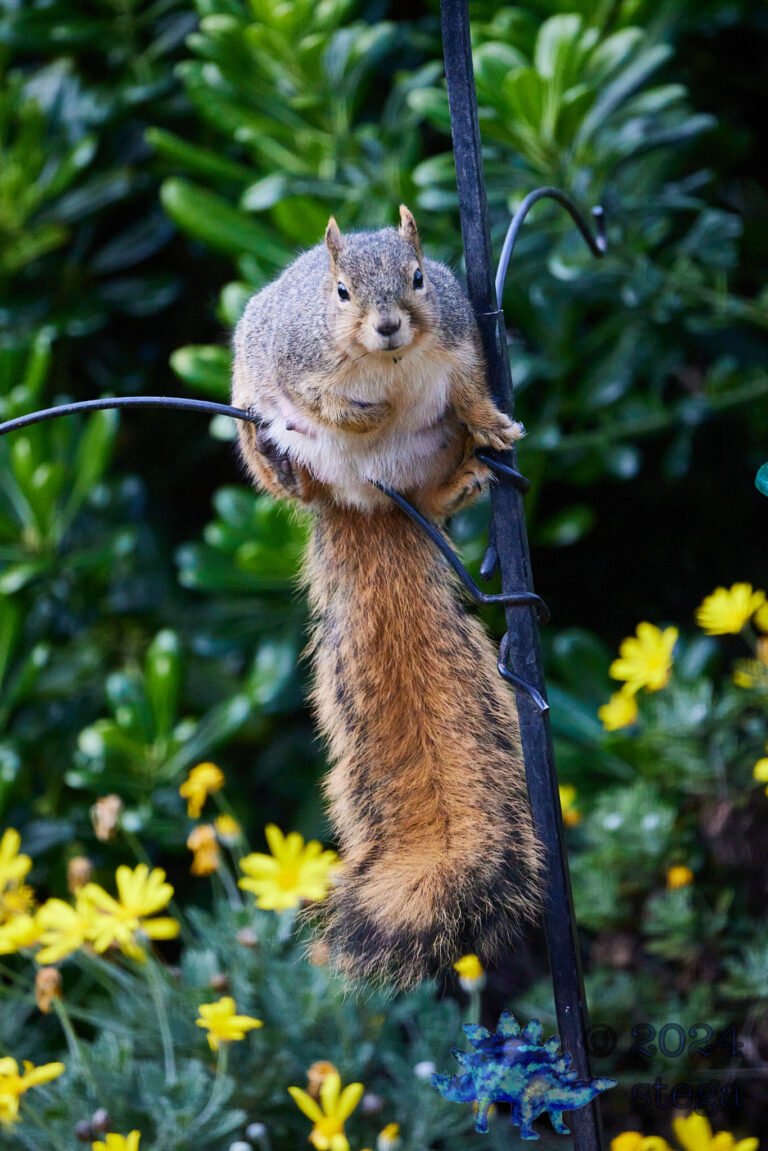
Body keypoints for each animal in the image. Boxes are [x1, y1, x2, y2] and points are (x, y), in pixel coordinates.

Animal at [232, 205, 543, 989]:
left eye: (421, 277)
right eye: (340, 292)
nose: (390, 325)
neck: (391, 370)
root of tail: (368, 502)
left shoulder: (460, 349)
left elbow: (468, 390)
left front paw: (493, 423)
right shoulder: (298, 361)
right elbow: (323, 400)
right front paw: (362, 415)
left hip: (428, 466)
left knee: (434, 490)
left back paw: (466, 478)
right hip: (257, 423)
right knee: (281, 462)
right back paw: (291, 468)